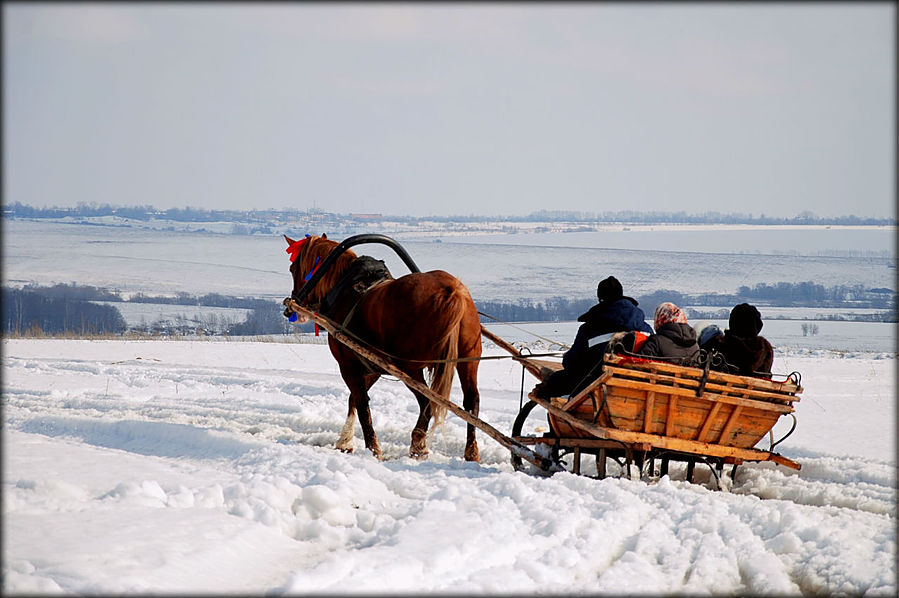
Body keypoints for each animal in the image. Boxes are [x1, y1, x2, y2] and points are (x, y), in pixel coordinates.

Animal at [286, 234, 486, 464]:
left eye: (293, 268)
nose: (293, 307)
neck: (345, 288)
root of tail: (452, 291)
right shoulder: (373, 367)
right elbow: (354, 400)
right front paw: (345, 441)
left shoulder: (348, 366)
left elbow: (362, 404)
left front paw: (371, 449)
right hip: (468, 360)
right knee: (471, 401)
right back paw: (470, 452)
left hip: (410, 367)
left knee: (426, 402)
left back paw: (418, 444)